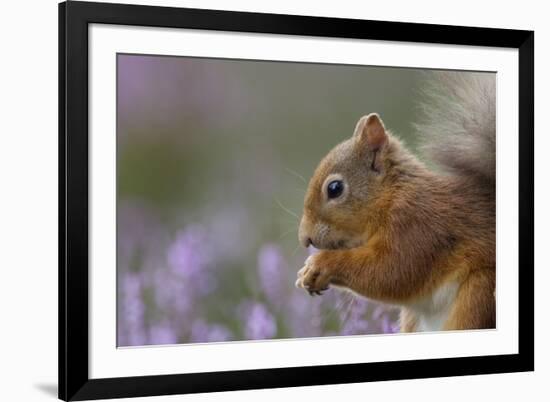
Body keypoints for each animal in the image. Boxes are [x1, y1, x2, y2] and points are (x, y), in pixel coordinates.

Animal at [300, 74, 498, 332]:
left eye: (334, 188)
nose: (305, 238)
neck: (390, 197)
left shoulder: (418, 226)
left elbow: (392, 272)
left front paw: (320, 264)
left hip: (478, 294)